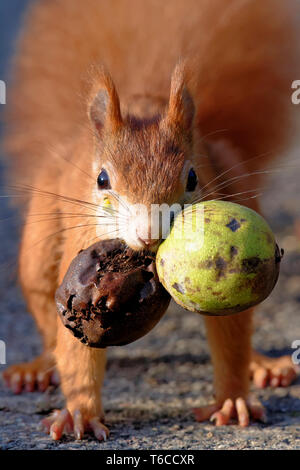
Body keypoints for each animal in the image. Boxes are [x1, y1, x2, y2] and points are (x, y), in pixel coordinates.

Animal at [1, 0, 298, 440]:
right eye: (101, 179)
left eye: (193, 177)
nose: (149, 232)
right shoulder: (80, 265)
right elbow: (77, 348)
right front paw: (80, 413)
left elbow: (231, 333)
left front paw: (232, 400)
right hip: (39, 251)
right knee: (44, 314)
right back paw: (37, 368)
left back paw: (264, 364)